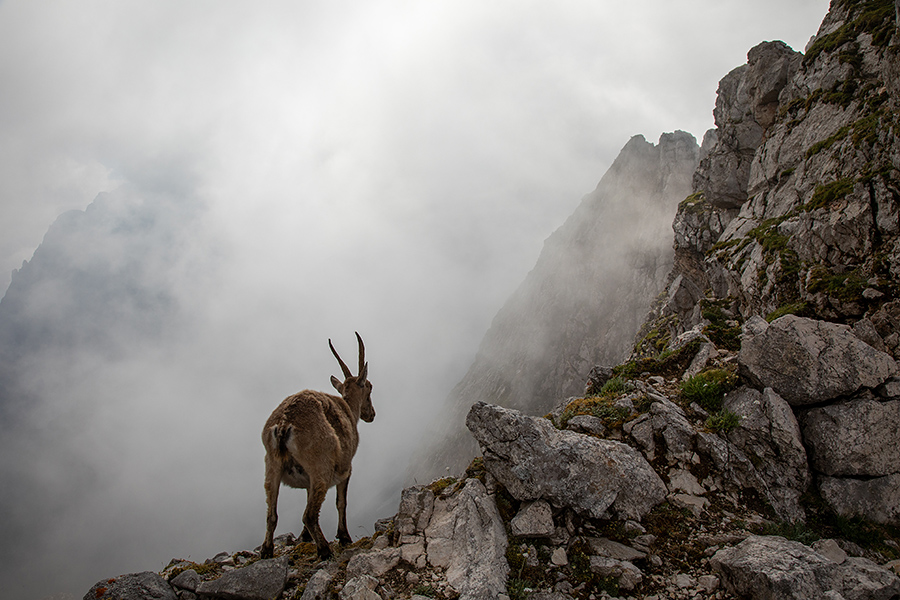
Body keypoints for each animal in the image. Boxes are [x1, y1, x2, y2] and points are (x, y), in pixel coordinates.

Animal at [260, 332, 375, 559]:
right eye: (370, 387)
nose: (371, 414)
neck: (348, 408)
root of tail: (284, 424)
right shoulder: (346, 468)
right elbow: (341, 502)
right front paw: (344, 536)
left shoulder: (307, 479)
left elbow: (306, 497)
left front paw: (304, 537)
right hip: (320, 466)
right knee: (309, 515)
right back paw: (324, 550)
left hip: (272, 467)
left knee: (272, 515)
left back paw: (267, 551)